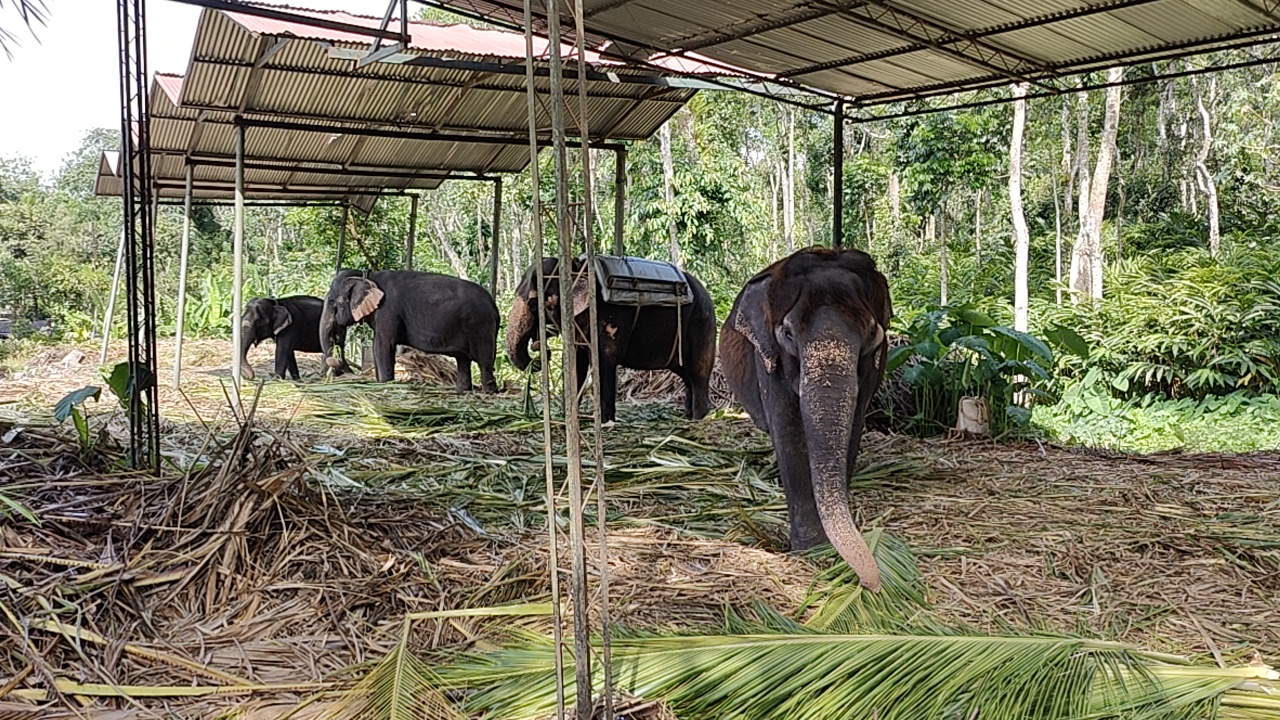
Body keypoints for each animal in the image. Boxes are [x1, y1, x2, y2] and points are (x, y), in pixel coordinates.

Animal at [319, 269, 499, 392]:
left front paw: (385, 384)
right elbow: (377, 347)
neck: (368, 276)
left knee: (484, 362)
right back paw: (462, 391)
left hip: (481, 326)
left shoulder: (388, 311)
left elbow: (382, 346)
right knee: (463, 360)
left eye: (332, 302)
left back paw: (488, 392)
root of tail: (494, 306)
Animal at [505, 257, 717, 423]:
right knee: (685, 373)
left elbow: (603, 360)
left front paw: (605, 422)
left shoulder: (609, 317)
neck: (577, 267)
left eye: (533, 304)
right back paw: (687, 415)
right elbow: (576, 363)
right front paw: (570, 417)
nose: (540, 348)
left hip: (701, 324)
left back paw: (699, 418)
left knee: (698, 372)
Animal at [719, 247, 892, 591]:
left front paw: (822, 547)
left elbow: (852, 428)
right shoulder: (768, 358)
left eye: (871, 333)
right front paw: (808, 548)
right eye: (787, 333)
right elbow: (788, 432)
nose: (873, 584)